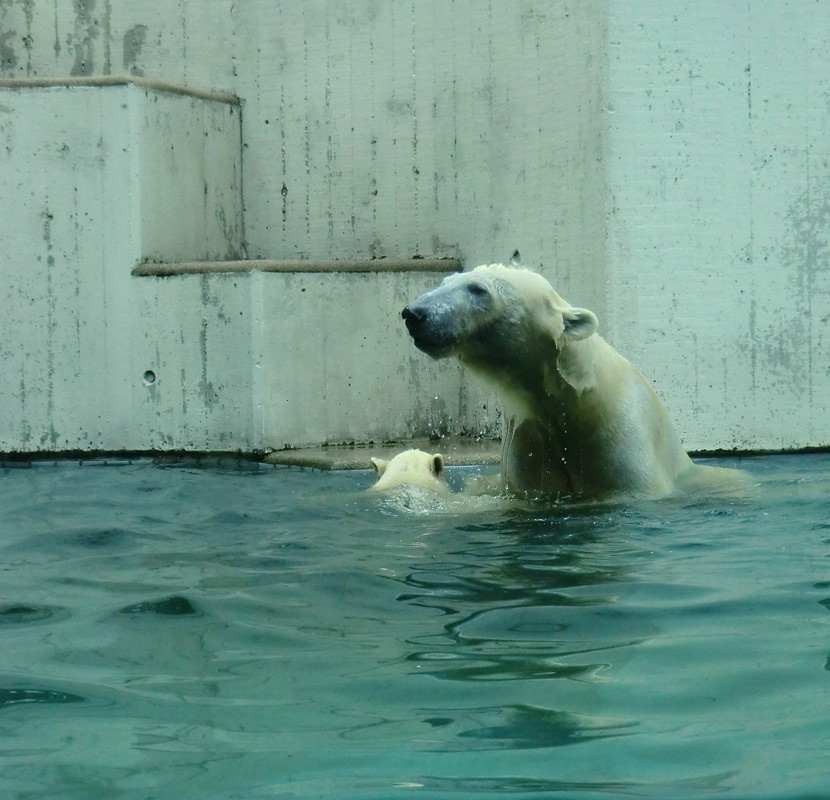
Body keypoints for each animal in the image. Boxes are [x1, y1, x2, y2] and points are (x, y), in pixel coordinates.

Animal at [404, 262, 748, 500]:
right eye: (445, 282)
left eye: (477, 289)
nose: (414, 313)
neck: (575, 403)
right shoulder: (529, 446)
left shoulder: (624, 446)